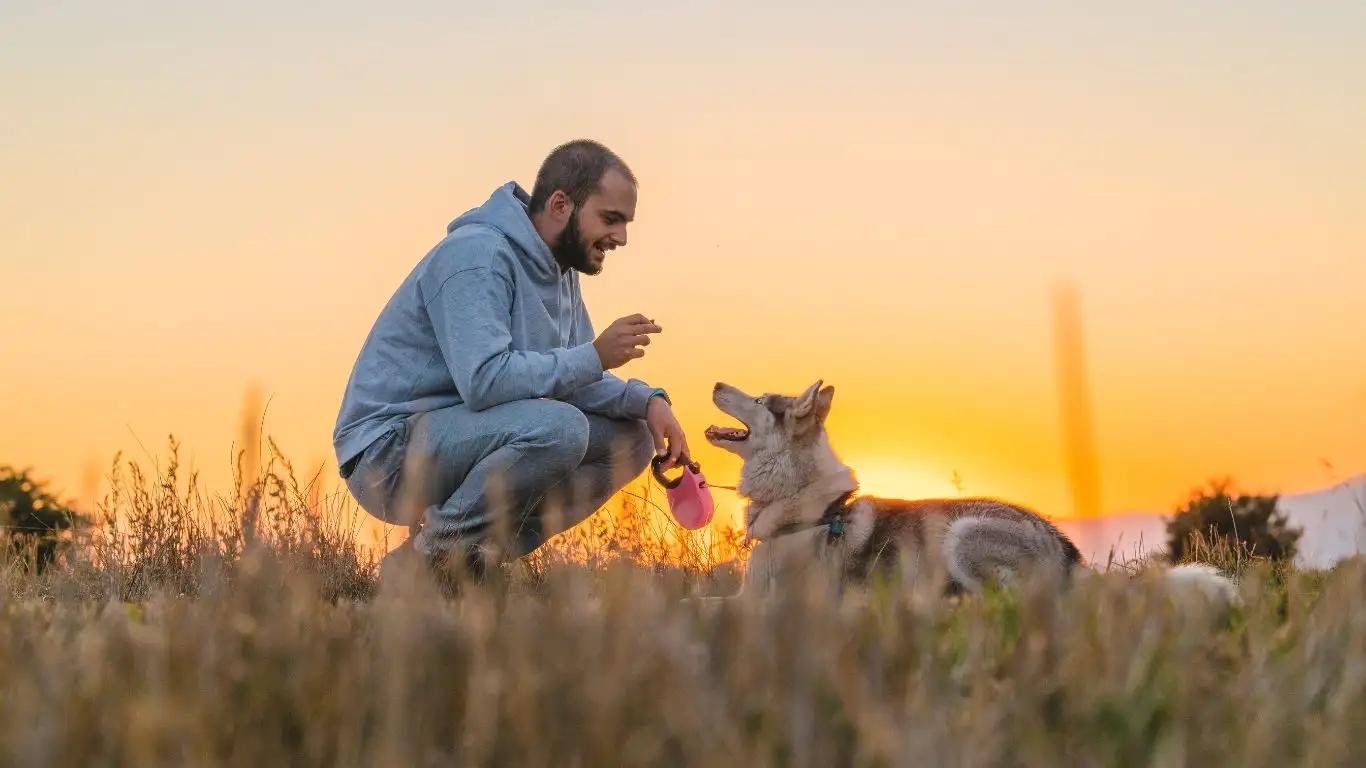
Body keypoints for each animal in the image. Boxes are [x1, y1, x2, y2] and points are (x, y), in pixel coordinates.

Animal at [704, 379, 1240, 601]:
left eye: (758, 400)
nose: (716, 382)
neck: (808, 508)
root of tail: (1069, 556)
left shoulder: (769, 606)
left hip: (962, 534)